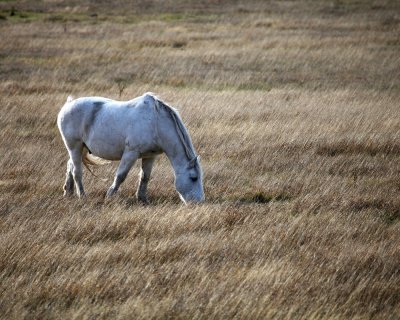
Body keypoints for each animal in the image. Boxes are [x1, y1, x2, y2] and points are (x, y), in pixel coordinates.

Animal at [57, 91, 205, 204]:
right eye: (193, 178)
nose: (199, 202)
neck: (155, 123)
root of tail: (68, 104)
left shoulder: (150, 156)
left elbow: (145, 177)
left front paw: (142, 199)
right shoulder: (131, 153)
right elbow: (121, 175)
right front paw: (110, 195)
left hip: (79, 149)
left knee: (70, 165)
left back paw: (68, 192)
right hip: (74, 146)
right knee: (77, 171)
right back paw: (82, 195)